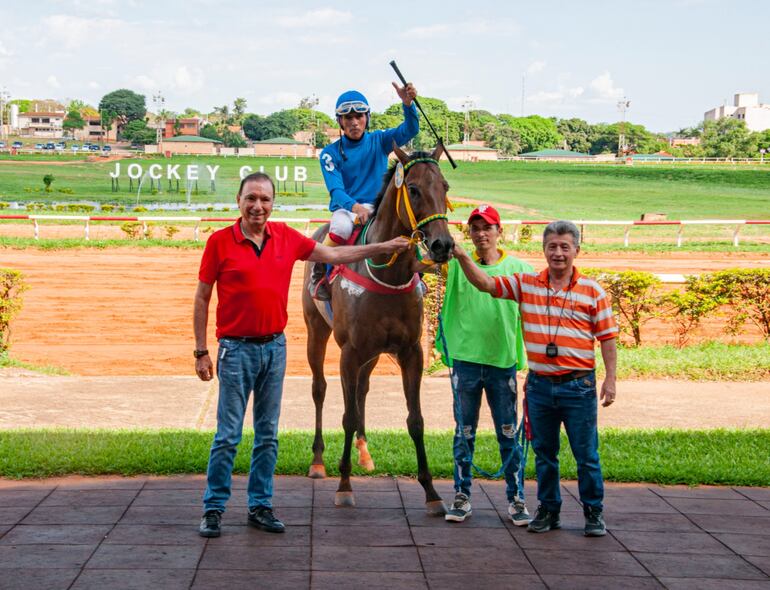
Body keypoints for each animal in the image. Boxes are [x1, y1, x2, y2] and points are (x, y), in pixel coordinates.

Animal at [300, 146, 452, 516]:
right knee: (320, 389)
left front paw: (431, 492)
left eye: (445, 186)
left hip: (371, 354)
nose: (442, 245)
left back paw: (365, 454)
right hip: (317, 332)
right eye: (413, 189)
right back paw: (318, 461)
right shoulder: (350, 351)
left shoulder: (410, 351)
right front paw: (343, 485)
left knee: (362, 391)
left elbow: (415, 419)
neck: (388, 273)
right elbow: (347, 415)